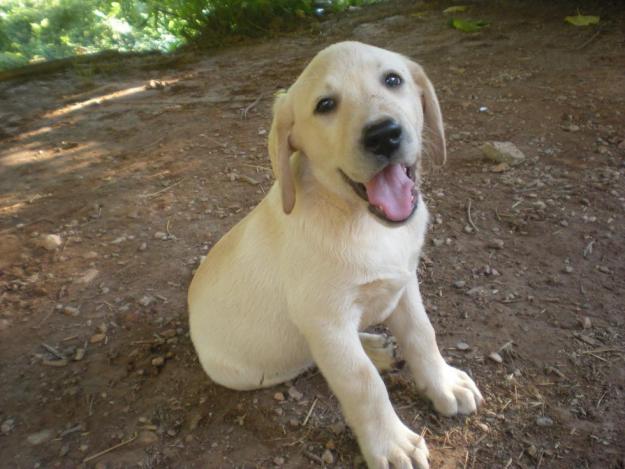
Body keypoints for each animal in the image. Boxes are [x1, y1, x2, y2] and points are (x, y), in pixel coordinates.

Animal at [189, 42, 482, 466]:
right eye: (325, 105)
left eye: (393, 79)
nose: (383, 135)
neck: (362, 221)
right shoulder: (324, 320)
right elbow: (361, 381)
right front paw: (391, 443)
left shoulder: (404, 283)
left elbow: (422, 334)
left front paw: (443, 383)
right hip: (252, 368)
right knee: (313, 359)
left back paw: (376, 346)